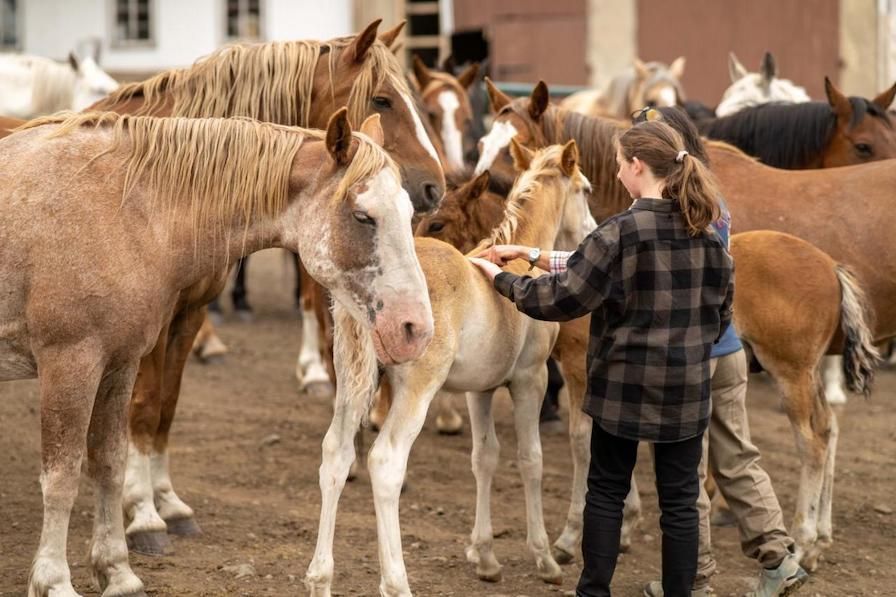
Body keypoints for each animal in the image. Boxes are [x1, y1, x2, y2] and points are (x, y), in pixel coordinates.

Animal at [306, 141, 596, 596]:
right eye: (585, 189)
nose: (592, 230)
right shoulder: (531, 378)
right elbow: (530, 459)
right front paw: (545, 557)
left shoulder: (481, 388)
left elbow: (485, 457)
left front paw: (486, 557)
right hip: (416, 389)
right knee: (385, 462)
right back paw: (396, 582)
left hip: (354, 383)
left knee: (336, 454)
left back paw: (320, 578)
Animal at [476, 85, 888, 568]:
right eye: (481, 143)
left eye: (510, 147)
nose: (472, 186)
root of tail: (831, 267)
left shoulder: (580, 368)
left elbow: (585, 443)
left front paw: (575, 536)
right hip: (803, 371)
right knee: (828, 428)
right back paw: (815, 539)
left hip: (791, 372)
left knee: (812, 440)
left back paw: (803, 539)